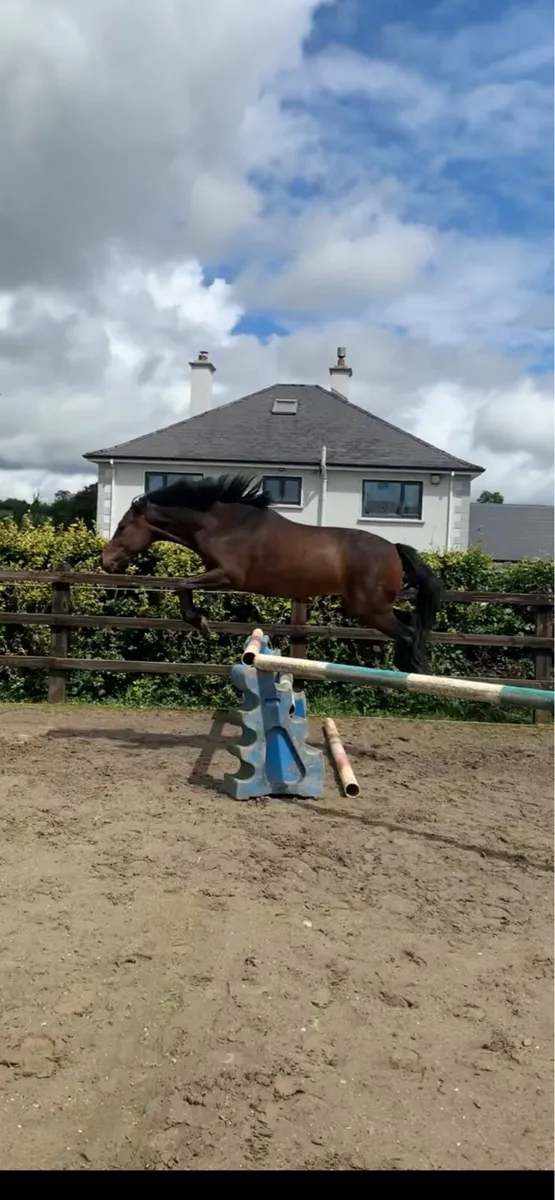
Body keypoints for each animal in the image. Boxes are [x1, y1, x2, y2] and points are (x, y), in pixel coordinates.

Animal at [100, 473, 445, 673]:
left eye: (123, 527)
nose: (106, 562)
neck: (222, 524)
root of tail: (393, 547)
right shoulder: (215, 572)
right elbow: (184, 585)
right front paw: (199, 620)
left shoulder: (229, 576)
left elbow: (182, 585)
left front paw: (199, 621)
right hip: (372, 606)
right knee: (411, 622)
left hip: (370, 608)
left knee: (408, 632)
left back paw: (415, 674)